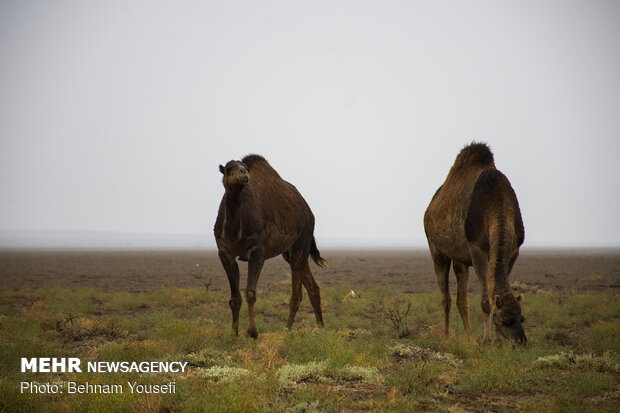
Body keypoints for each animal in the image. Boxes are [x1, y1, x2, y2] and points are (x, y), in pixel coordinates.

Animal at [214, 153, 330, 336]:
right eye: (228, 169)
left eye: (246, 169)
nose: (242, 174)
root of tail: (308, 211)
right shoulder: (225, 252)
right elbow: (234, 299)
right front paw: (234, 334)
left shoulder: (257, 250)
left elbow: (250, 293)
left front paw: (253, 333)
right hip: (291, 252)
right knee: (312, 287)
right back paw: (320, 329)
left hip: (301, 240)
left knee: (297, 293)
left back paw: (287, 330)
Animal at [424, 143, 524, 342]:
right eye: (505, 321)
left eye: (521, 318)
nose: (521, 342)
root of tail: (429, 208)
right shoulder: (477, 248)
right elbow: (486, 302)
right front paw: (486, 341)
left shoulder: (513, 250)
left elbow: (494, 292)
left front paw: (497, 341)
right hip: (436, 249)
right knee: (445, 298)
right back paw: (447, 336)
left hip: (460, 259)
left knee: (461, 299)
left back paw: (470, 340)